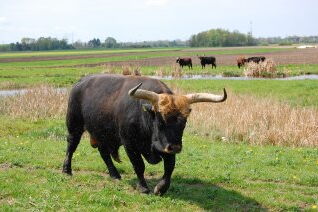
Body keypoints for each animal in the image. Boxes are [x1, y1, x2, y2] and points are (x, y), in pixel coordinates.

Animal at [62, 74, 226, 195]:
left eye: (184, 122)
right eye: (160, 120)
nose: (175, 148)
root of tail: (81, 82)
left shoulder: (166, 146)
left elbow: (169, 167)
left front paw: (161, 188)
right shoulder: (130, 144)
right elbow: (139, 165)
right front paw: (143, 187)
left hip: (103, 133)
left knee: (104, 153)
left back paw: (115, 174)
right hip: (74, 126)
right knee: (71, 146)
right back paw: (66, 170)